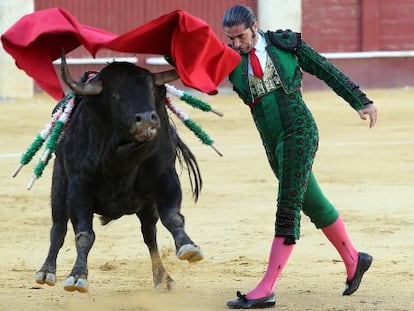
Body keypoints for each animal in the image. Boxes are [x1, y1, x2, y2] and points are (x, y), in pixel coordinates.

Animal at [34, 52, 204, 294]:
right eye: (115, 95)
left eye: (150, 91)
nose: (147, 118)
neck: (123, 157)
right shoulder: (78, 187)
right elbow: (84, 234)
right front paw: (77, 277)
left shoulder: (167, 178)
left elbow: (172, 217)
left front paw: (188, 247)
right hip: (59, 185)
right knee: (58, 228)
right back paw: (46, 272)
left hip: (146, 206)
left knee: (149, 234)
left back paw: (163, 278)